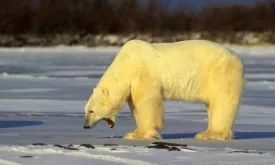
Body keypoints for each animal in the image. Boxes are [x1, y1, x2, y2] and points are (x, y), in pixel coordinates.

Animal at [83, 39, 246, 141]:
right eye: (86, 110)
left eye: (91, 111)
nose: (85, 126)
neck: (125, 63)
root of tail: (236, 56)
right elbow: (135, 105)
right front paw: (135, 131)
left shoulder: (143, 73)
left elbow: (147, 102)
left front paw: (137, 134)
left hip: (220, 73)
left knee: (222, 101)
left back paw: (208, 134)